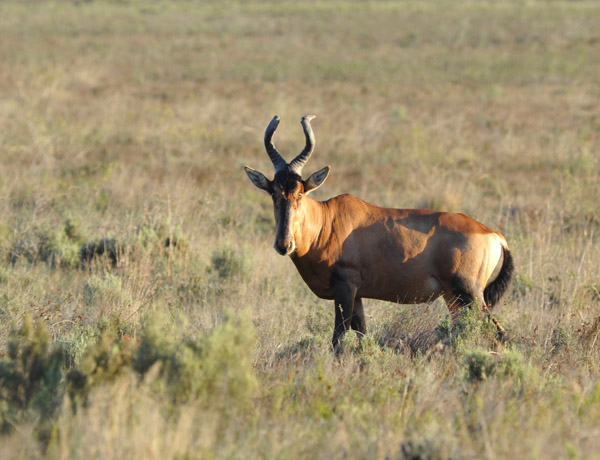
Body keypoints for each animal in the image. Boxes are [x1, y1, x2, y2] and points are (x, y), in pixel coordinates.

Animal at [244, 116, 510, 348]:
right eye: (274, 192)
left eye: (300, 192)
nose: (284, 244)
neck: (327, 221)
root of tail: (494, 235)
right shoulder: (357, 295)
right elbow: (361, 335)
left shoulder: (344, 288)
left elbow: (338, 338)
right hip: (453, 297)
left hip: (470, 293)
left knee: (498, 333)